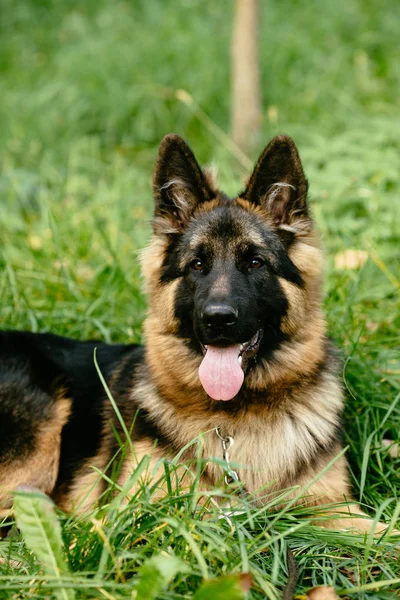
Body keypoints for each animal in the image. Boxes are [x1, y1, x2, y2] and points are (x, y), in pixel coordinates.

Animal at [0, 135, 390, 528]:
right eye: (197, 265)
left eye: (255, 262)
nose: (217, 319)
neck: (236, 418)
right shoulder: (145, 512)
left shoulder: (335, 507)